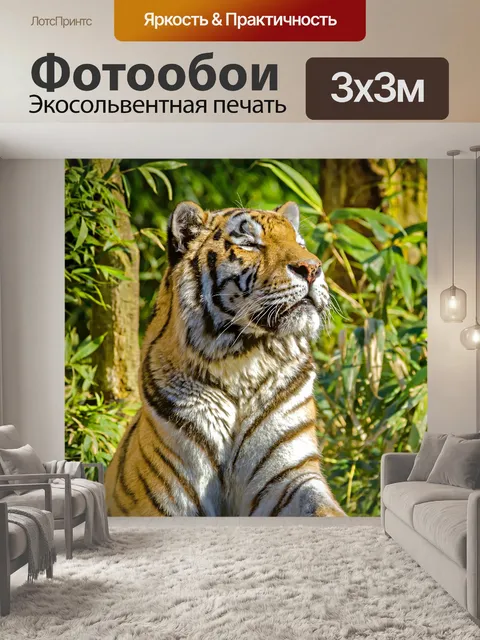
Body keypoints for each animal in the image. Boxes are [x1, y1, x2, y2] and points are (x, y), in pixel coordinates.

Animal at [105, 200, 345, 517]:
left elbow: (321, 509)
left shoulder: (290, 475)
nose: (312, 268)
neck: (243, 364)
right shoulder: (171, 487)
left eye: (300, 243)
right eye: (250, 243)